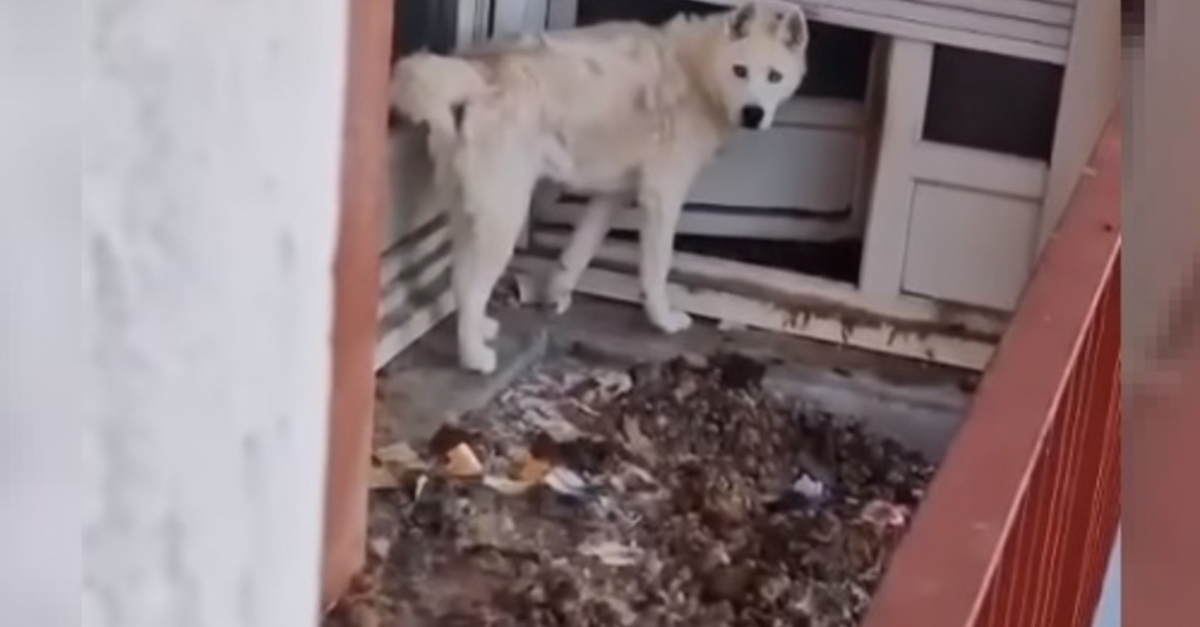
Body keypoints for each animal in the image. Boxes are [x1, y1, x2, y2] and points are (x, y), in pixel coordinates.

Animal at [388, 1, 811, 369]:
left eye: (774, 76)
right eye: (740, 71)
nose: (754, 113)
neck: (698, 73)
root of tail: (479, 69)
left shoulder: (612, 196)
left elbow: (579, 251)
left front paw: (556, 295)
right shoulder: (662, 197)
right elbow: (656, 269)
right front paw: (664, 320)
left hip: (471, 213)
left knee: (460, 281)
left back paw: (482, 330)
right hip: (504, 218)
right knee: (474, 288)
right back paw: (474, 358)